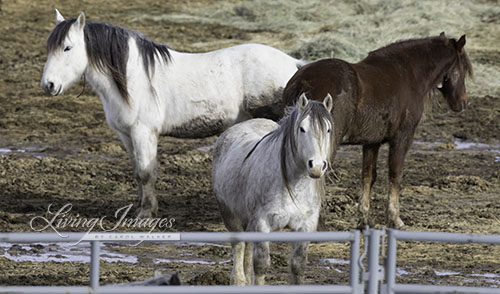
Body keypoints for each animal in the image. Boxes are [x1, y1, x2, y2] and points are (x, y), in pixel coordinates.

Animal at [41, 10, 304, 217]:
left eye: (67, 47)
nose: (48, 85)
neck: (132, 78)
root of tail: (293, 64)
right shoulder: (126, 135)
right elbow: (137, 171)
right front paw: (141, 207)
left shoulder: (143, 132)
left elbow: (146, 173)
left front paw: (146, 213)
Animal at [212, 94, 334, 284]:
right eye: (302, 129)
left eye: (328, 129)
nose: (317, 166)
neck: (293, 186)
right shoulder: (262, 223)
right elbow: (261, 266)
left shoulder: (306, 226)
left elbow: (298, 266)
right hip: (231, 217)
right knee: (239, 250)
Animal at [284, 33, 470, 229]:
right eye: (463, 68)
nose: (463, 103)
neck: (408, 73)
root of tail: (303, 80)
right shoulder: (402, 138)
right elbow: (395, 174)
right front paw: (395, 219)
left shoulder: (372, 142)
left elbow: (368, 177)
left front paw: (364, 219)